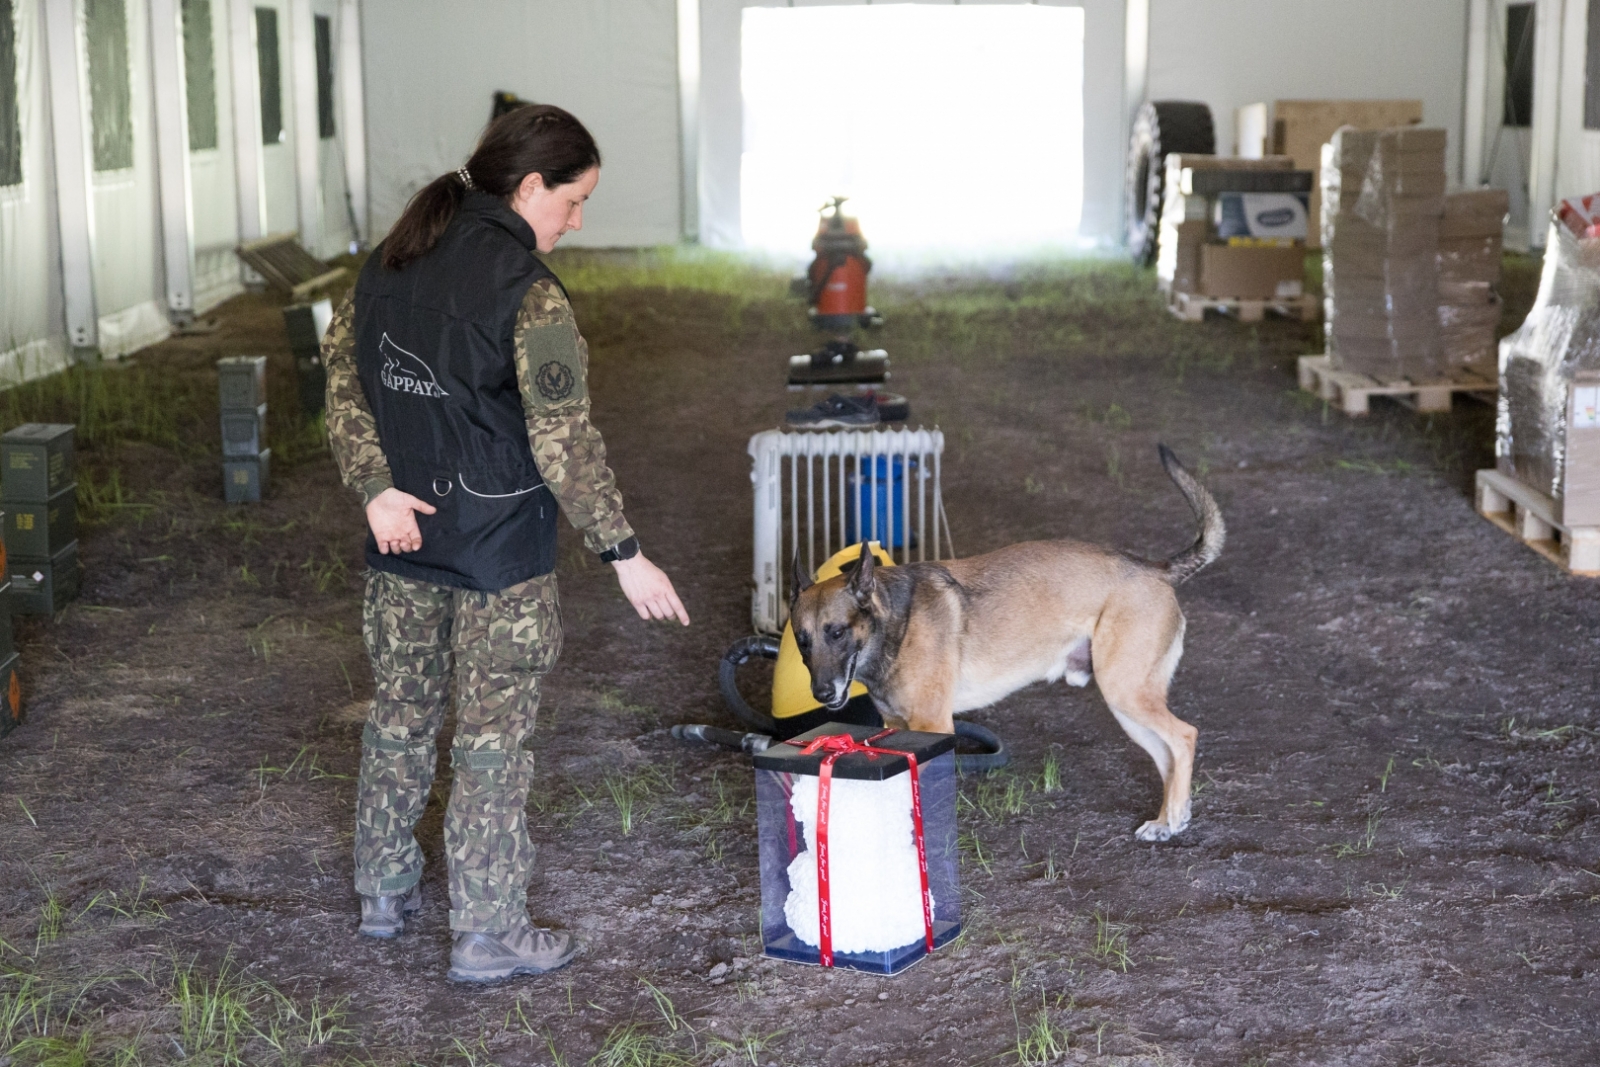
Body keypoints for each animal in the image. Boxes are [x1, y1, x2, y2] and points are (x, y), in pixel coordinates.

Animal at [787, 444, 1222, 844]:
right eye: (802, 641)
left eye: (837, 632)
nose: (822, 693)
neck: (896, 623)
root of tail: (1157, 570)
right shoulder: (898, 731)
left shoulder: (932, 728)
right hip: (1128, 708)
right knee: (1167, 756)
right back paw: (1168, 820)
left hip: (1127, 694)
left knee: (1184, 738)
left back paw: (1174, 817)